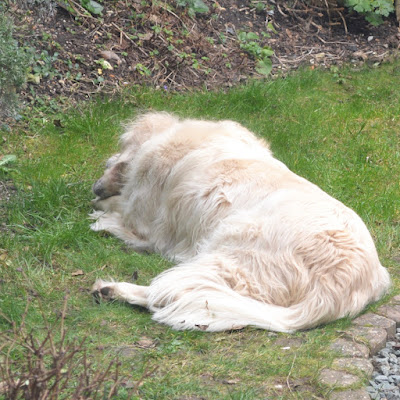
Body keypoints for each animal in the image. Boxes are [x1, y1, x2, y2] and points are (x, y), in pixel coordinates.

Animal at [90, 112, 390, 332]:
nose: (95, 187)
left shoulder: (143, 220)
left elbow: (120, 210)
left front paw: (101, 215)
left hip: (227, 253)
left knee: (168, 292)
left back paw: (112, 289)